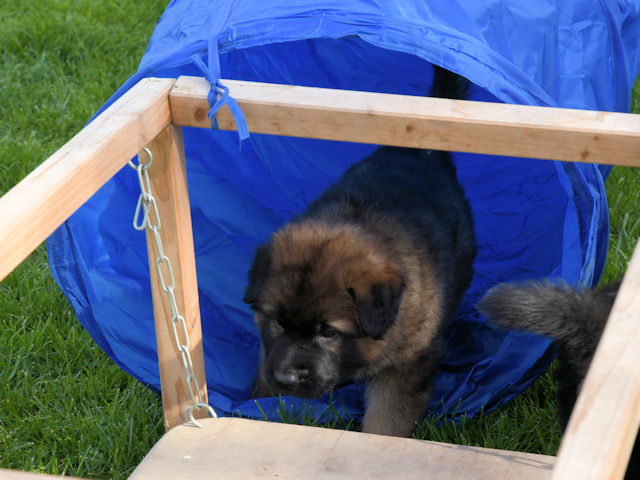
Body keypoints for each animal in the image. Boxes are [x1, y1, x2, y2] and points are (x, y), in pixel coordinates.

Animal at [243, 66, 476, 437]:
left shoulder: (407, 363)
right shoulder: (270, 351)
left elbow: (386, 420)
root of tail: (418, 152)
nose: (286, 378)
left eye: (329, 332)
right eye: (277, 321)